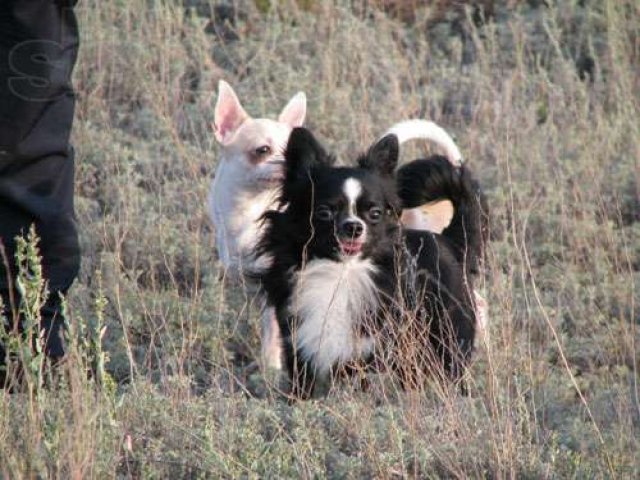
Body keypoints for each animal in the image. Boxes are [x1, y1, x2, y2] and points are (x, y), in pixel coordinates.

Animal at [255, 126, 484, 398]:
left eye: (375, 214)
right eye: (324, 212)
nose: (354, 226)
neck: (342, 272)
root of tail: (450, 241)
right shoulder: (299, 348)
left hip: (447, 338)